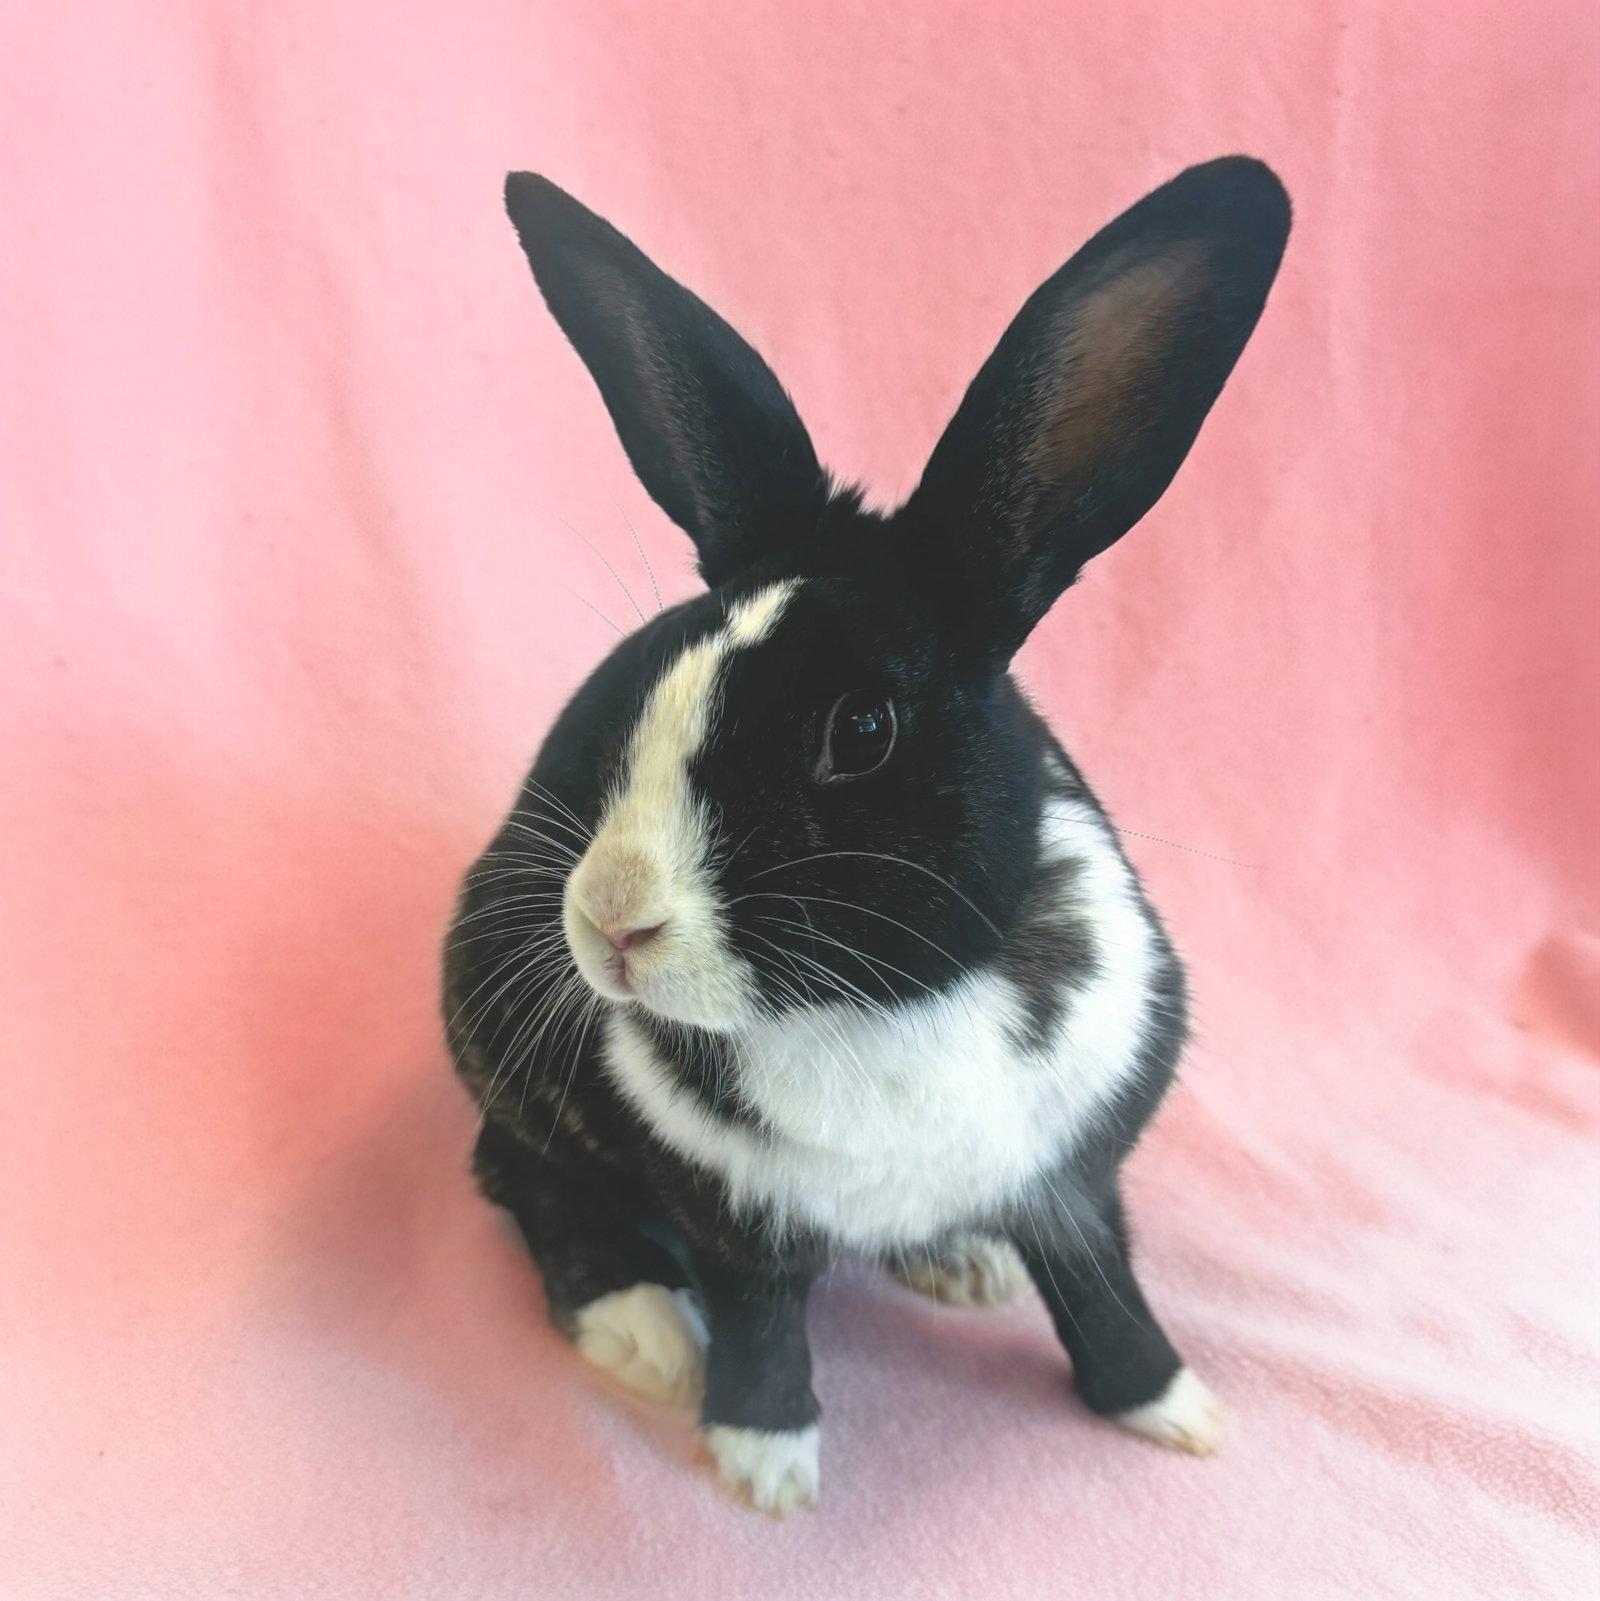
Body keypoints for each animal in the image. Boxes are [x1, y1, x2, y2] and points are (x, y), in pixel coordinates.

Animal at [444, 157, 1289, 1515]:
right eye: (641, 688)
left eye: (862, 727)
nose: (609, 923)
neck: (881, 1004)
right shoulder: (730, 1218)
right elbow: (759, 1320)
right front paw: (765, 1465)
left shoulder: (1074, 1179)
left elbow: (1102, 1284)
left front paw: (1176, 1411)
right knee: (525, 1180)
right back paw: (642, 1330)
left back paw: (962, 1265)